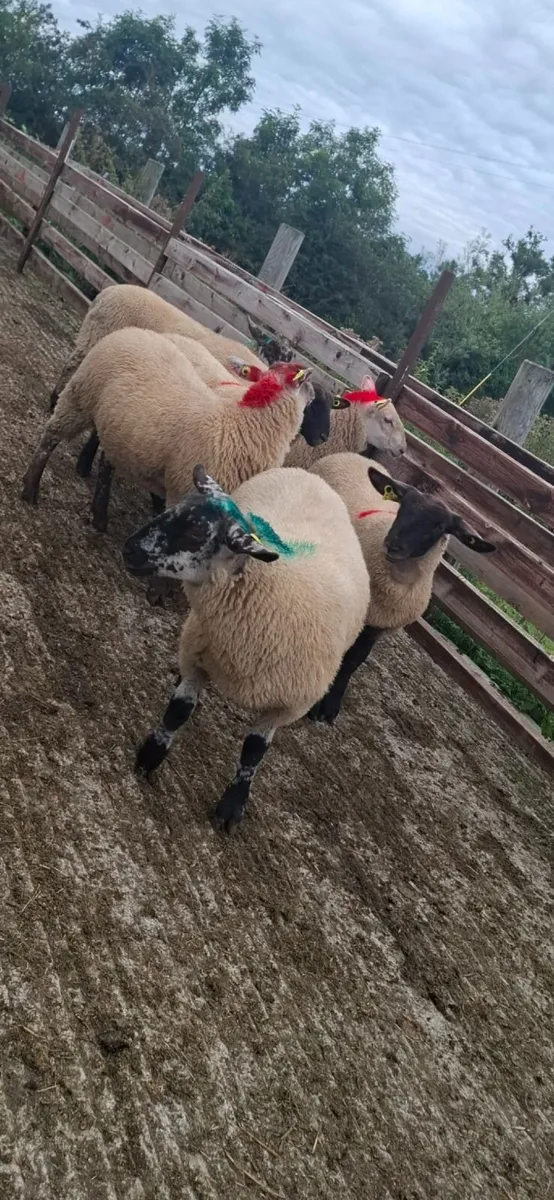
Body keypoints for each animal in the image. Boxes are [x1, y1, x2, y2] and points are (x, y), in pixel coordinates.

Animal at [21, 329, 320, 536]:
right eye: (305, 384)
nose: (315, 395)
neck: (240, 426)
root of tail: (135, 331)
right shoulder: (185, 487)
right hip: (80, 395)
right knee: (50, 438)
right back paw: (30, 487)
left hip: (123, 429)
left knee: (107, 462)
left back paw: (99, 515)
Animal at [122, 462, 370, 833]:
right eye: (170, 510)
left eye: (195, 534)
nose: (129, 550)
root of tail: (312, 475)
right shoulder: (197, 655)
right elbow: (177, 712)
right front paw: (150, 757)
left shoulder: (287, 704)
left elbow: (253, 752)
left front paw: (231, 808)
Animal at [308, 452, 496, 724]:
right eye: (402, 508)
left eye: (439, 527)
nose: (393, 545)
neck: (394, 584)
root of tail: (353, 455)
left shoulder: (379, 622)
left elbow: (354, 661)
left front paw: (330, 706)